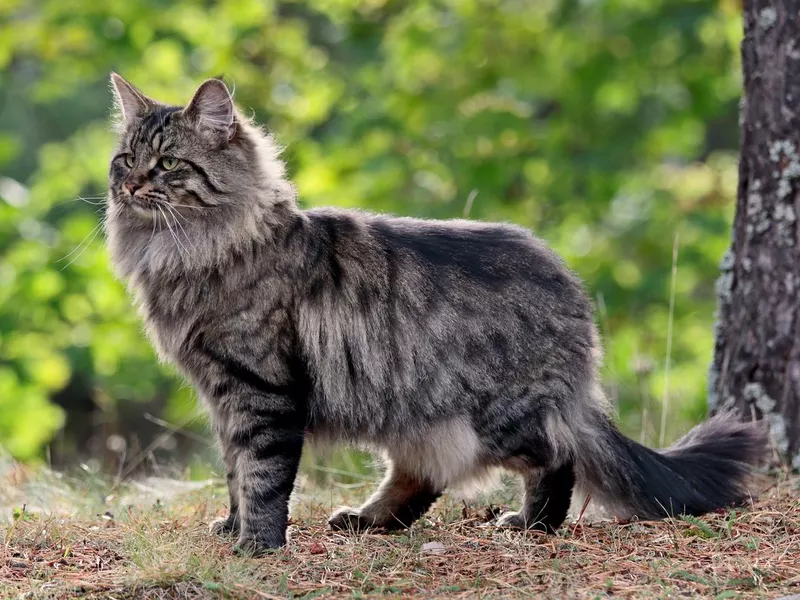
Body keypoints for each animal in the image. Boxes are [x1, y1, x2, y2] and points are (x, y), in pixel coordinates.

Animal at [104, 72, 764, 556]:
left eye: (168, 164)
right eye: (125, 159)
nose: (131, 187)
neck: (189, 250)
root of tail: (569, 286)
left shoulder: (260, 391)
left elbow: (262, 477)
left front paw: (257, 546)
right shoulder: (223, 395)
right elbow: (234, 473)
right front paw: (231, 527)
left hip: (498, 416)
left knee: (558, 456)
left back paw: (531, 527)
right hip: (410, 411)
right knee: (420, 477)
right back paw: (366, 520)